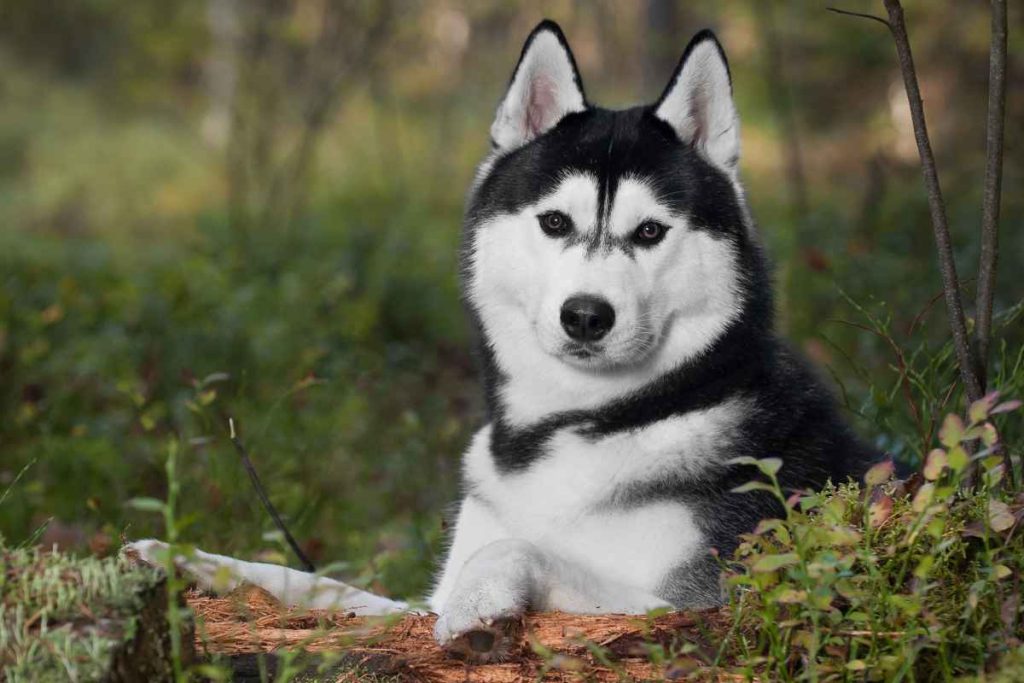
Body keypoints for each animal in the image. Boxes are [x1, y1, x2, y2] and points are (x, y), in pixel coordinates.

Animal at [130, 21, 880, 663]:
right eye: (554, 222)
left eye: (649, 232)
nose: (587, 315)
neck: (580, 424)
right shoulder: (416, 599)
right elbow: (318, 584)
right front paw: (187, 557)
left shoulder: (700, 604)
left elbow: (522, 549)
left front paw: (482, 602)